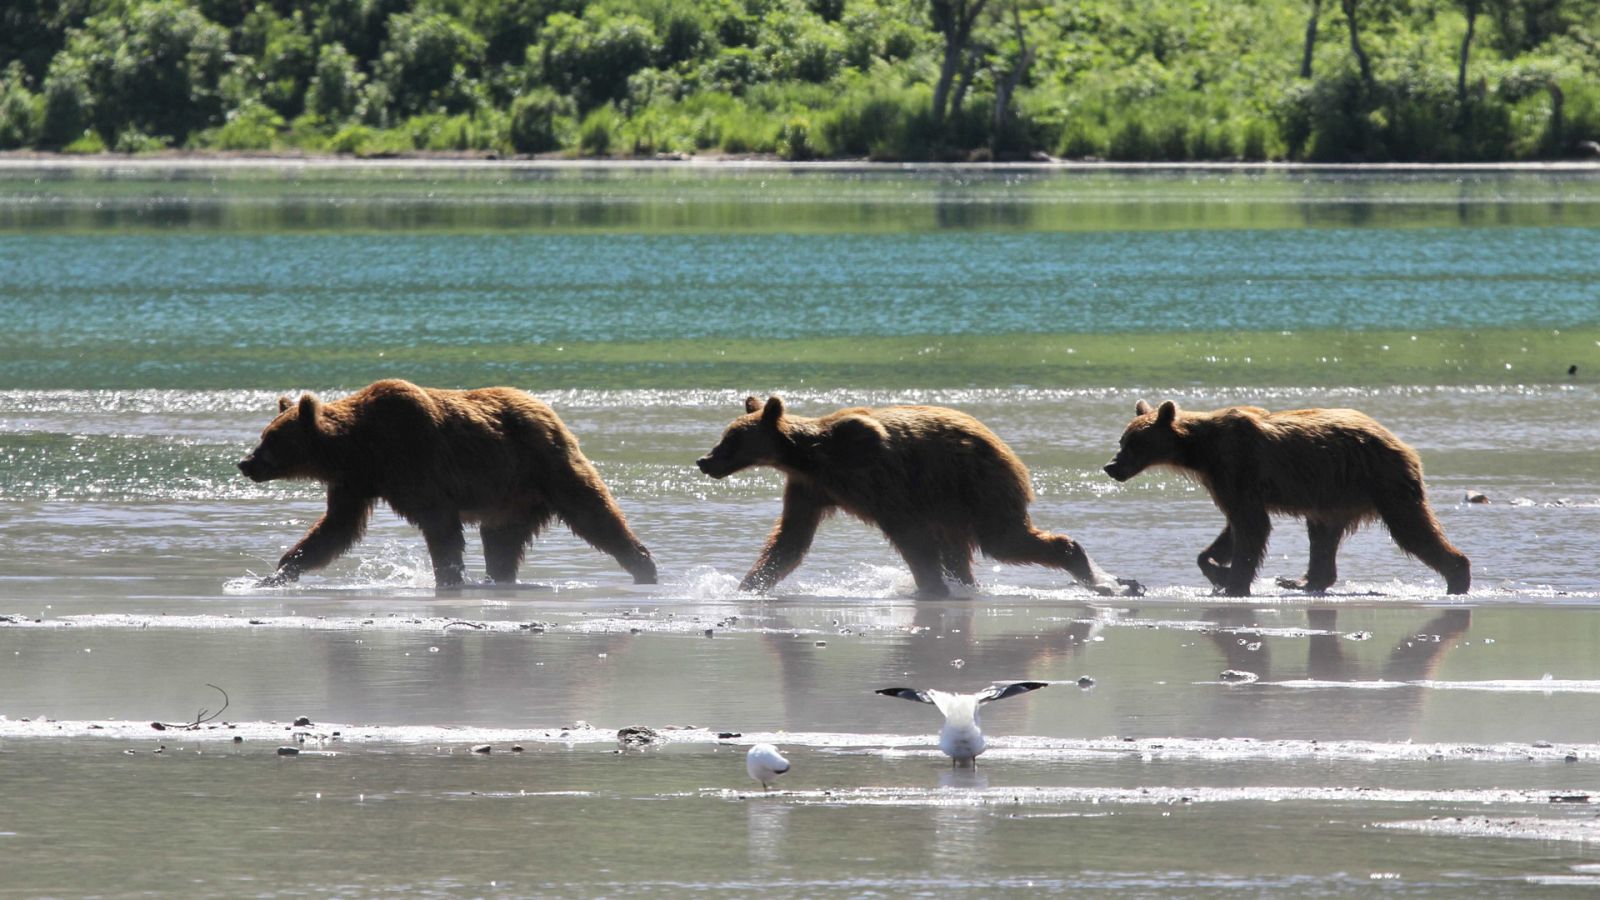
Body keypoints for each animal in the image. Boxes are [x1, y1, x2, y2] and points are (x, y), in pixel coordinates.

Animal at [233, 379, 656, 586]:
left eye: (271, 439)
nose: (245, 463)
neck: (361, 447)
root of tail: (550, 412)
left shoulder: (415, 461)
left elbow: (440, 525)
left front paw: (449, 576)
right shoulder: (356, 482)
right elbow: (335, 530)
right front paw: (277, 573)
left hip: (544, 468)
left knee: (594, 513)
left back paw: (644, 566)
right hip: (511, 501)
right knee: (501, 540)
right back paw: (497, 577)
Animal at [697, 393, 1139, 595]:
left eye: (731, 440)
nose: (704, 460)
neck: (807, 457)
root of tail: (1009, 451)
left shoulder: (877, 477)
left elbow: (909, 535)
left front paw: (929, 585)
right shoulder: (810, 489)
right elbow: (790, 540)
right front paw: (746, 584)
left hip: (979, 486)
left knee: (1004, 539)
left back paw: (1089, 571)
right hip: (953, 504)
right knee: (963, 549)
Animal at [1107, 398, 1465, 595]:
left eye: (1133, 443)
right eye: (1122, 440)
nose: (1111, 466)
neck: (1199, 452)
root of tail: (1404, 445)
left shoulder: (1236, 466)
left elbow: (1251, 526)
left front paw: (1234, 583)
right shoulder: (1225, 480)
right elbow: (1233, 527)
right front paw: (1219, 570)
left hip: (1383, 481)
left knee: (1413, 529)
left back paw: (1458, 577)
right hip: (1334, 495)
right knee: (1322, 536)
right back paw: (1302, 581)